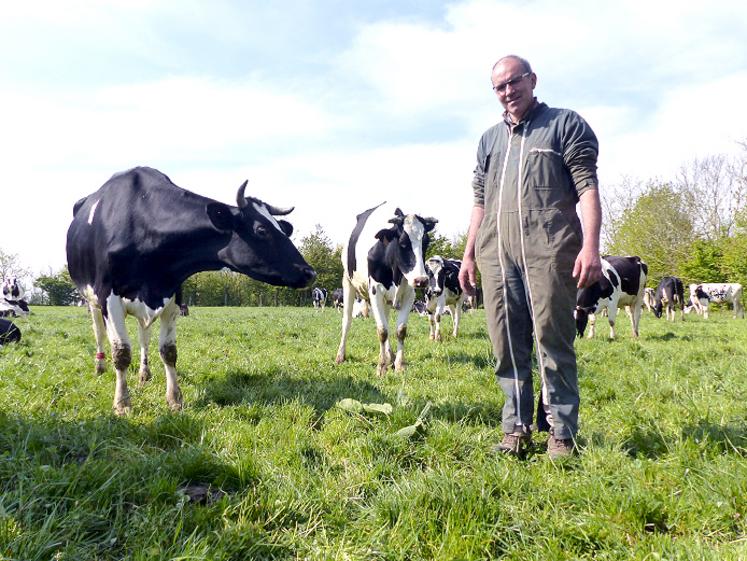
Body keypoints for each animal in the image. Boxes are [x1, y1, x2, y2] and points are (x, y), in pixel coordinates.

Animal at [65, 164, 318, 414]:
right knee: (99, 332)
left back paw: (144, 373)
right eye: (261, 230)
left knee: (144, 335)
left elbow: (168, 351)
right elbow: (121, 352)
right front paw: (122, 403)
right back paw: (100, 366)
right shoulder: (109, 297)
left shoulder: (173, 293)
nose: (310, 273)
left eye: (282, 230)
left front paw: (175, 399)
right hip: (91, 299)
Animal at [334, 203, 436, 374]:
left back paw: (390, 356)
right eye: (403, 243)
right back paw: (340, 356)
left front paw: (399, 365)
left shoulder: (409, 294)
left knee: (386, 321)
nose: (421, 280)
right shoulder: (375, 291)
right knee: (347, 320)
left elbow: (400, 330)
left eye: (426, 242)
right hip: (347, 282)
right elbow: (382, 331)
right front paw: (381, 366)